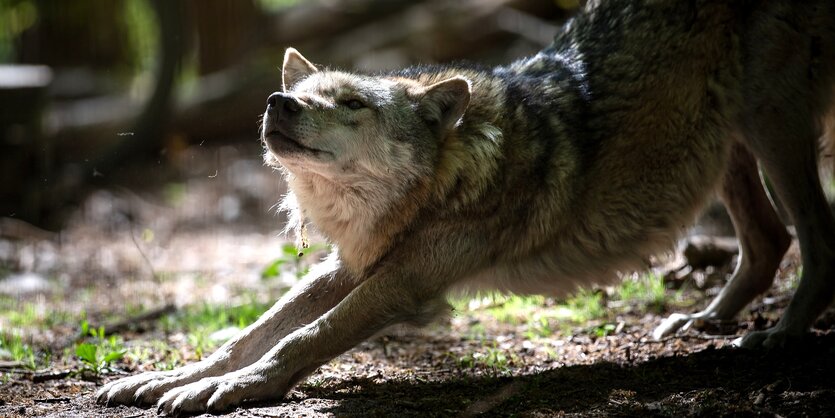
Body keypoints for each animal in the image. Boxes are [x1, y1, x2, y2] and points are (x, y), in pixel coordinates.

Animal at [94, 0, 832, 414]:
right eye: (304, 92)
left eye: (352, 103)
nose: (279, 102)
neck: (437, 184)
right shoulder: (354, 264)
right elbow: (251, 332)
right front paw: (170, 377)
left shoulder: (404, 279)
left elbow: (301, 338)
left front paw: (228, 389)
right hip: (720, 146)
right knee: (769, 241)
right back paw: (706, 320)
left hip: (769, 124)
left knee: (815, 235)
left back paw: (780, 334)